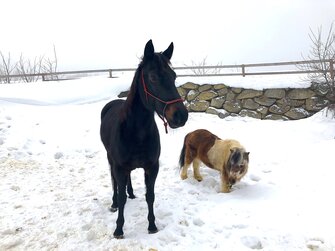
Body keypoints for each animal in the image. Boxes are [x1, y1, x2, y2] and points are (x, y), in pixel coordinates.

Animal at [100, 40, 189, 238]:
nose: (181, 116)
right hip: (110, 159)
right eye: (153, 77)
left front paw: (152, 225)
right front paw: (119, 228)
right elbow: (121, 197)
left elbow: (150, 196)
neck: (136, 132)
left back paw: (132, 193)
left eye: (174, 76)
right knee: (114, 182)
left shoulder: (152, 167)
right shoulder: (119, 167)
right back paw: (113, 203)